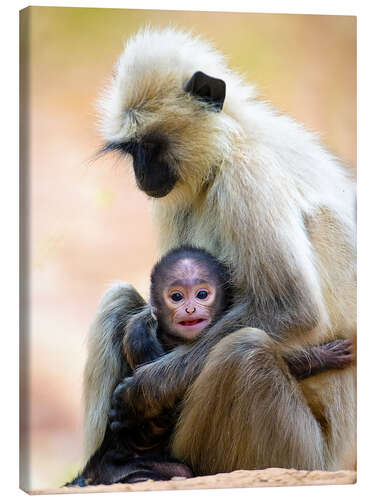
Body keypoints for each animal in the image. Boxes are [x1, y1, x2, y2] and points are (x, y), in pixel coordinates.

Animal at [83, 28, 356, 476]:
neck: (233, 140)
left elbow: (292, 308)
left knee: (244, 353)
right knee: (118, 298)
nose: (141, 173)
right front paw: (141, 330)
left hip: (299, 456)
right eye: (133, 150)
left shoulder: (247, 173)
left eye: (151, 147)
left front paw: (143, 391)